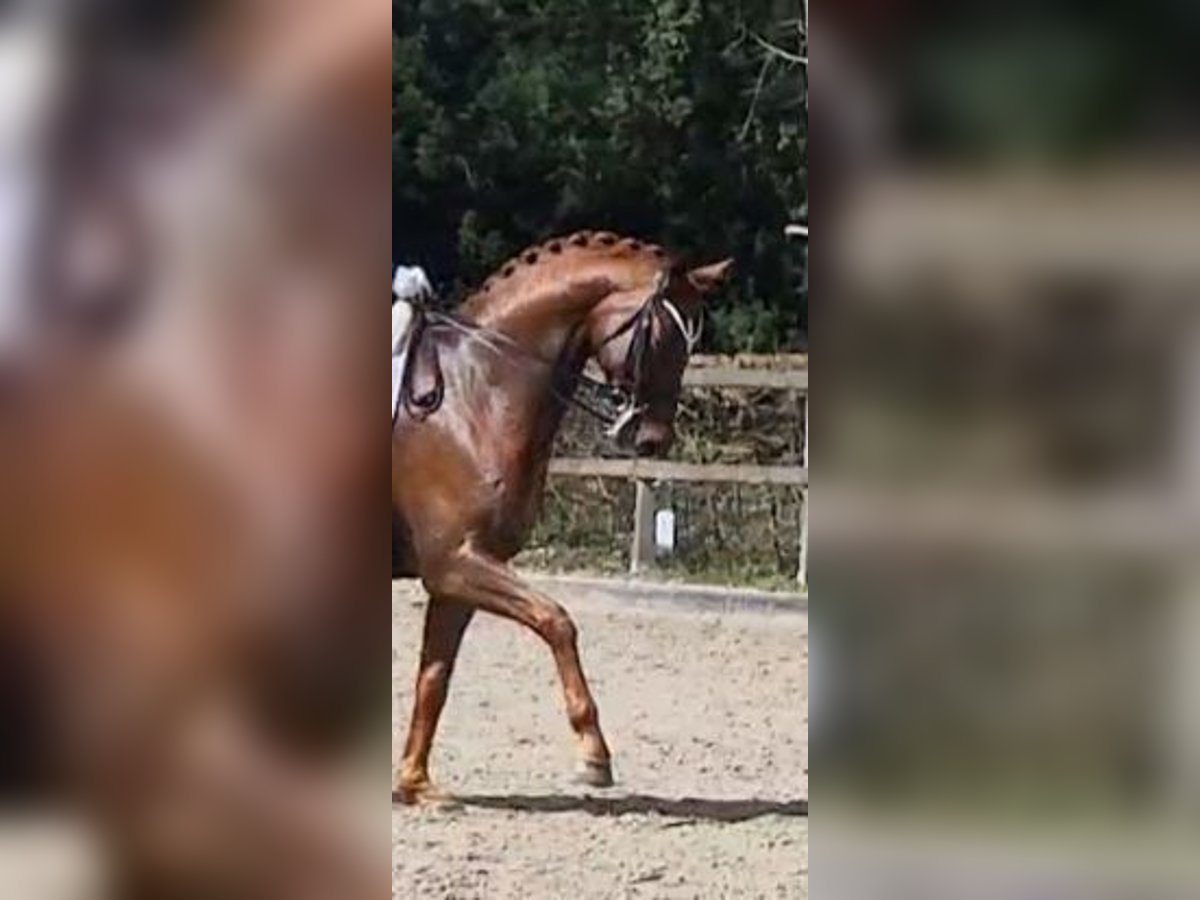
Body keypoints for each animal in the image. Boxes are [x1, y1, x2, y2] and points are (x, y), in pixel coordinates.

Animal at [391, 233, 732, 804]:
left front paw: (415, 784)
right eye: (661, 335)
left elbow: (434, 677)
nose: (654, 440)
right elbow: (557, 621)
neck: (473, 397)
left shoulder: (455, 579)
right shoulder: (456, 561)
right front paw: (593, 755)